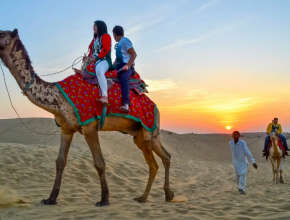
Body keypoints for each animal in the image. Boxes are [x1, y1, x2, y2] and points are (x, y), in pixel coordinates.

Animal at [0, 28, 173, 206]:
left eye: (1, 34)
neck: (58, 97)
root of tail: (155, 106)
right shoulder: (66, 129)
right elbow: (60, 162)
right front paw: (50, 198)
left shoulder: (89, 126)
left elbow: (99, 163)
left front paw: (104, 199)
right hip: (139, 134)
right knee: (153, 164)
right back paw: (142, 197)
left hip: (150, 128)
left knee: (166, 157)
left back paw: (168, 195)